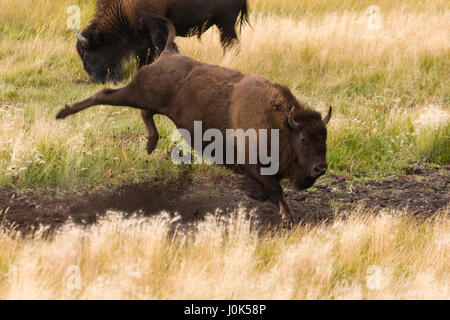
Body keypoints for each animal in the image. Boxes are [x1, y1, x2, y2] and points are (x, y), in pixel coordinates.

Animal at [59, 13, 330, 222]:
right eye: (303, 139)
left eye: (324, 137)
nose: (321, 167)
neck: (281, 123)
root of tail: (168, 53)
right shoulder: (256, 165)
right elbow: (275, 188)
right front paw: (287, 215)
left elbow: (270, 188)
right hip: (136, 93)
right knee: (105, 94)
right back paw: (63, 112)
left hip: (150, 101)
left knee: (145, 113)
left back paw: (150, 144)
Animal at [74, 0, 250, 84]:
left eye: (87, 54)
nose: (96, 80)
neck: (121, 7)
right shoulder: (141, 35)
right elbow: (144, 54)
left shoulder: (156, 27)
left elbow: (161, 47)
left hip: (225, 22)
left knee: (230, 43)